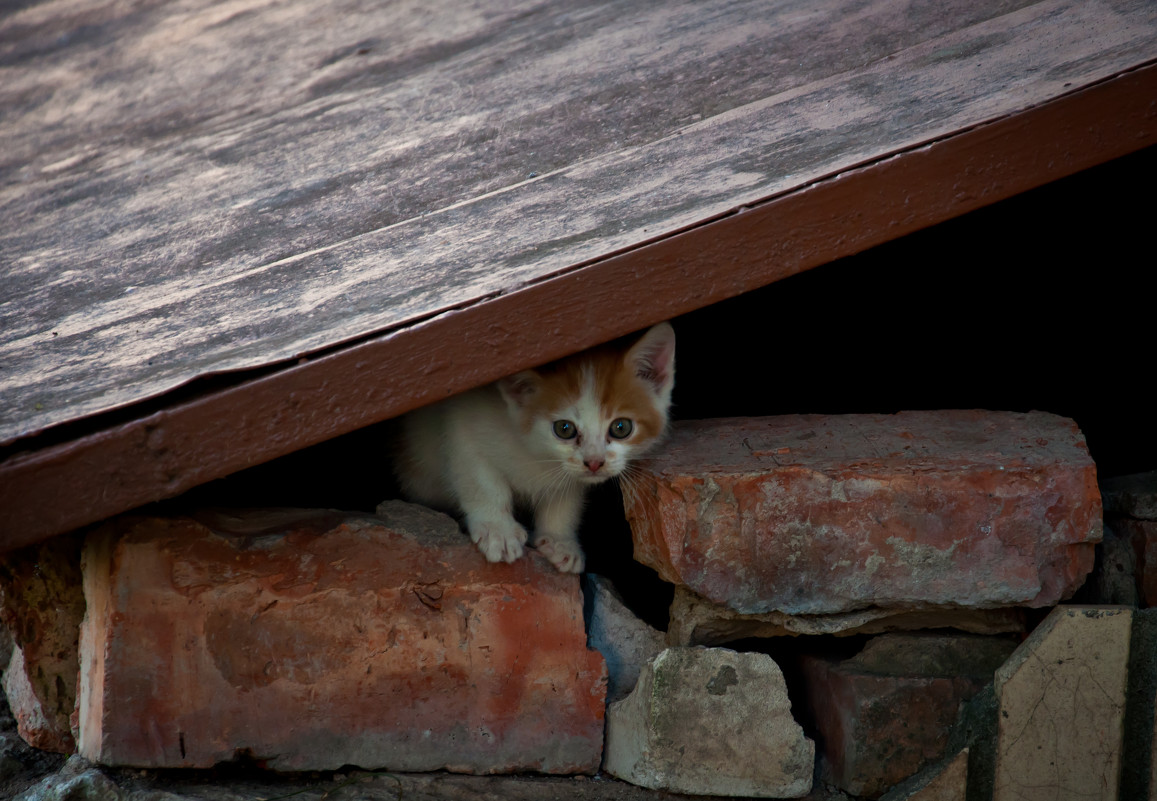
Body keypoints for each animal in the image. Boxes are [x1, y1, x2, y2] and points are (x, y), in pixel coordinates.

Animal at [393, 321, 675, 571]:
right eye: (564, 429)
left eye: (621, 427)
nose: (595, 462)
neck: (534, 455)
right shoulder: (463, 423)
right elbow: (481, 483)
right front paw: (498, 529)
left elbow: (565, 499)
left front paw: (560, 541)